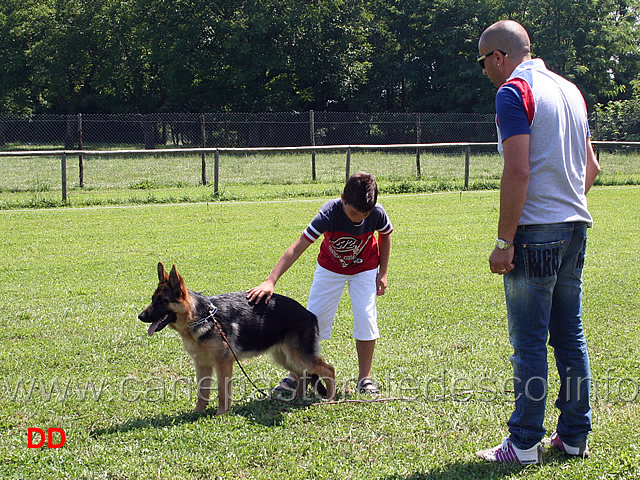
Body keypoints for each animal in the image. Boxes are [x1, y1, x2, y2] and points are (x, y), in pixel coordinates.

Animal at [138, 264, 338, 414]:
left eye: (162, 301)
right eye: (153, 299)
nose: (140, 316)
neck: (201, 316)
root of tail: (310, 314)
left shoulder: (223, 364)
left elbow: (222, 393)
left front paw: (221, 414)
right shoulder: (202, 365)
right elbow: (202, 392)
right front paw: (197, 413)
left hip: (298, 356)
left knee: (328, 370)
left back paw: (330, 399)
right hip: (284, 357)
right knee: (303, 375)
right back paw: (297, 398)